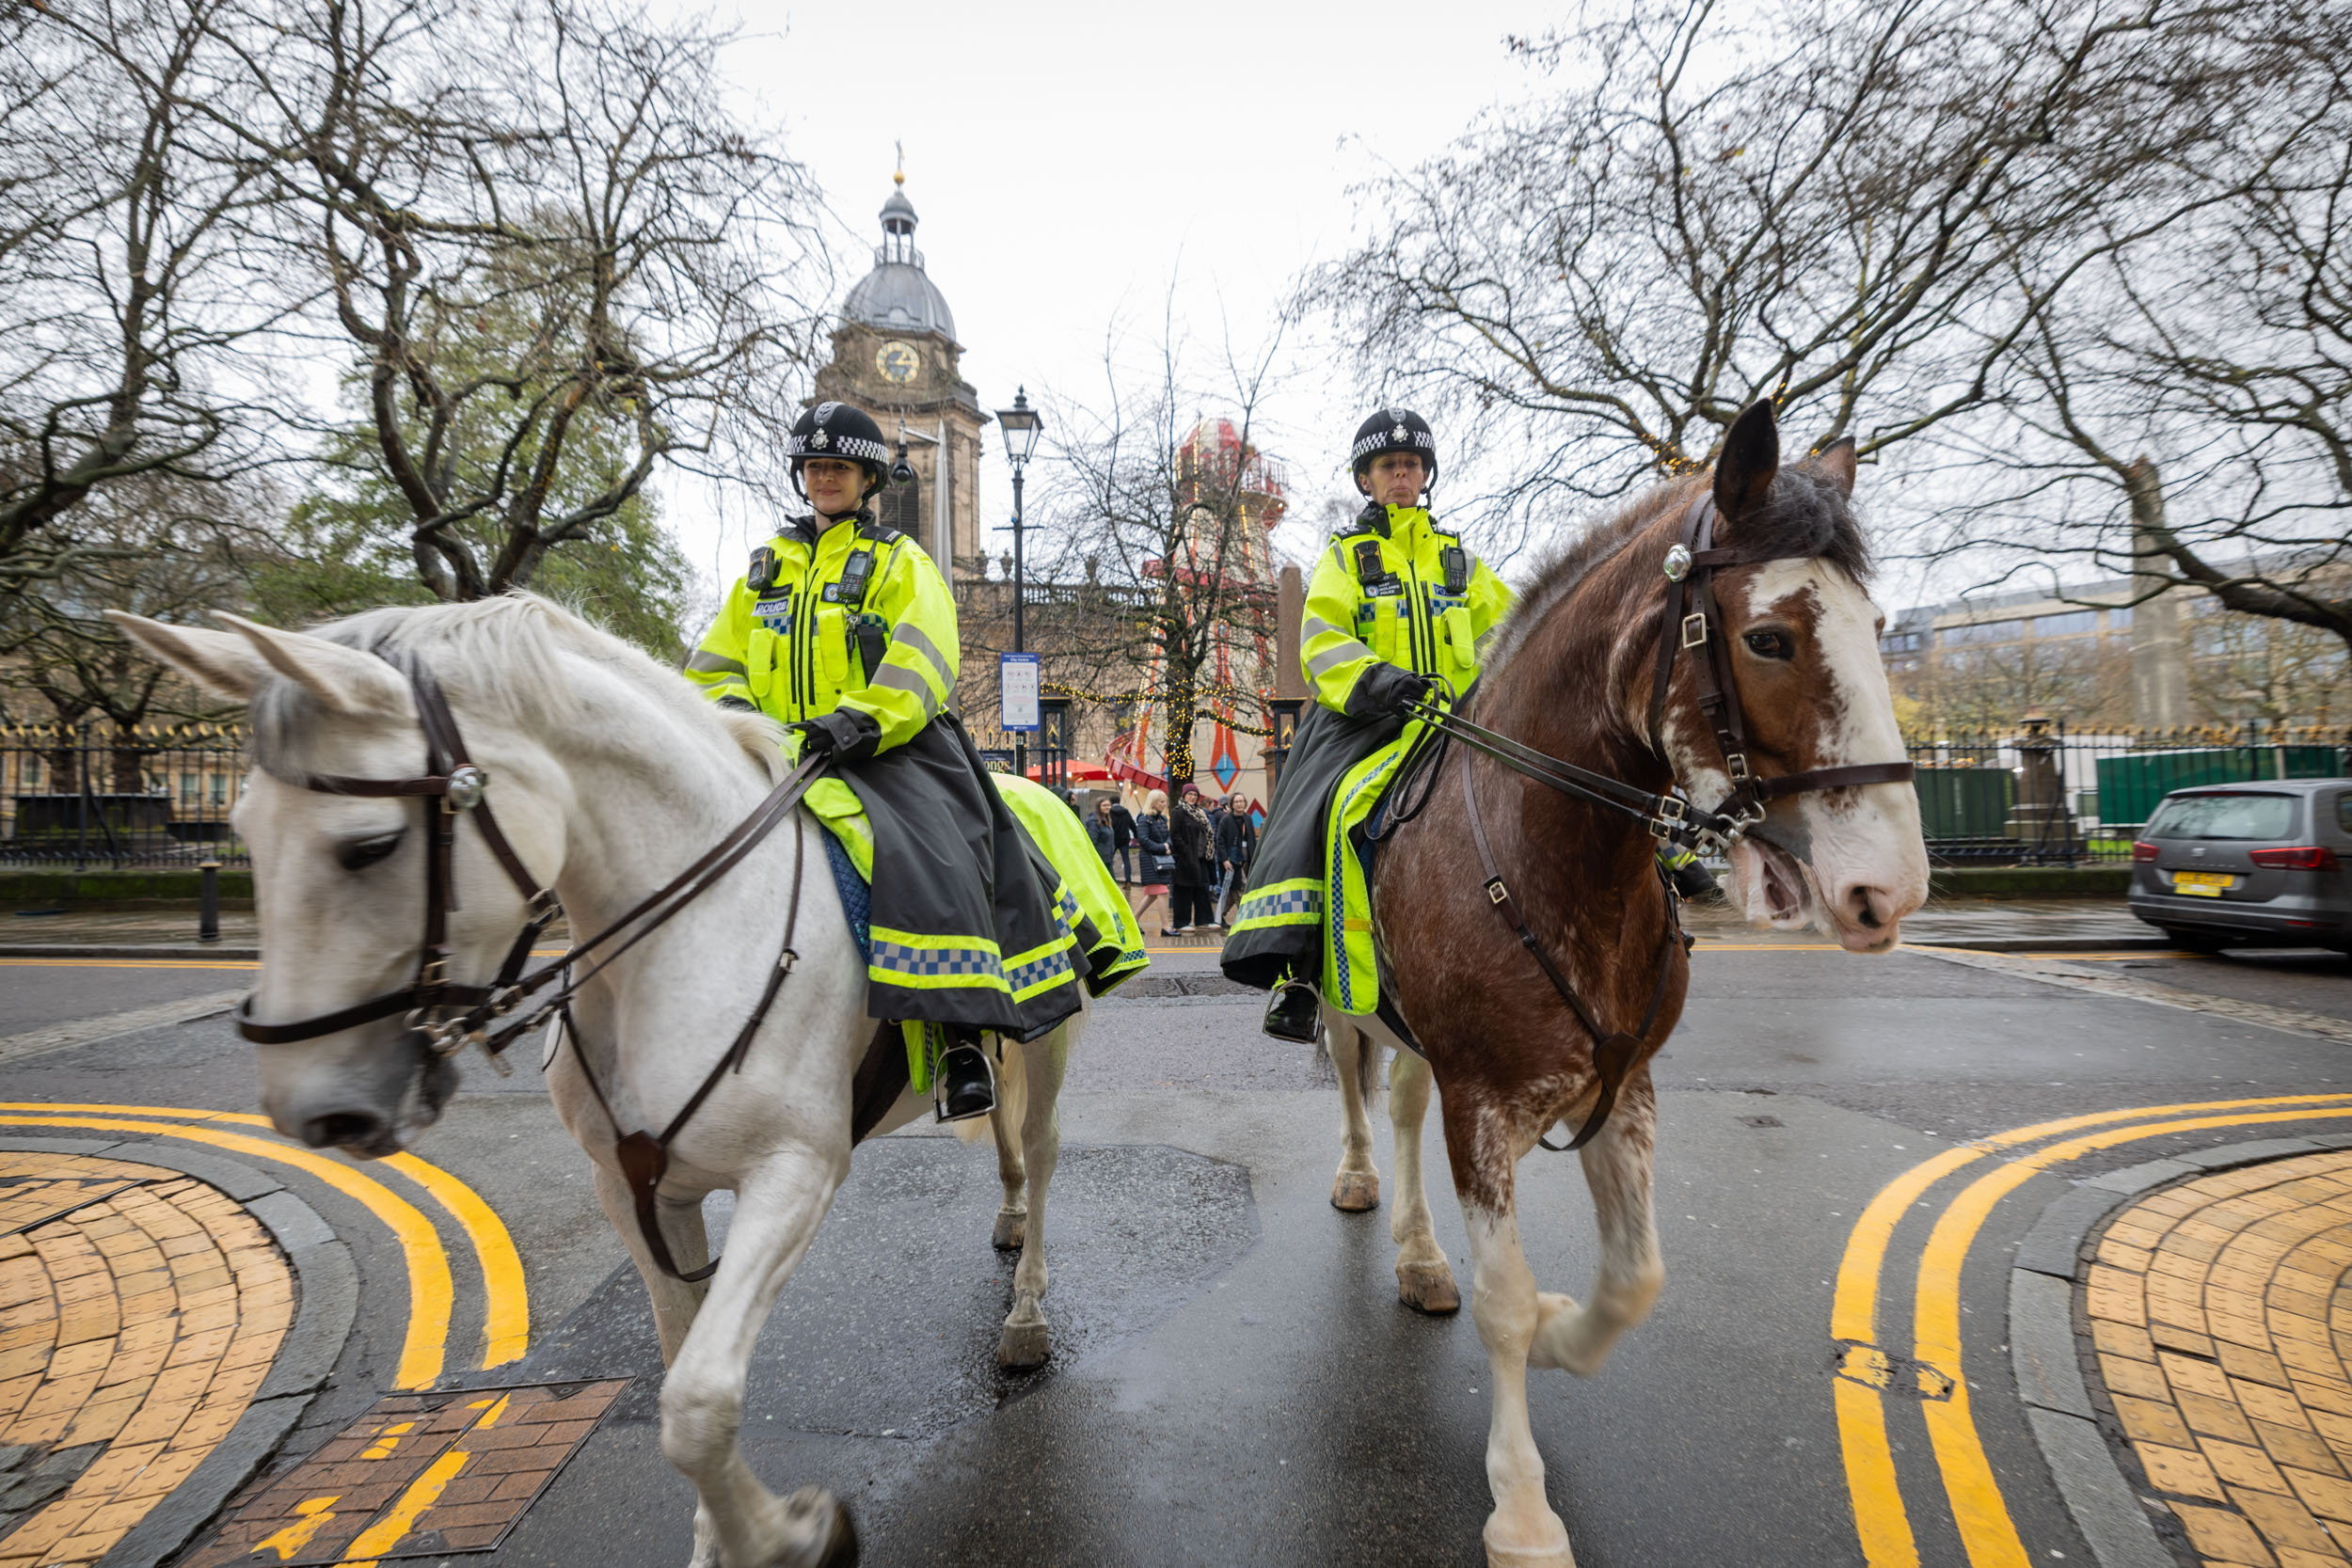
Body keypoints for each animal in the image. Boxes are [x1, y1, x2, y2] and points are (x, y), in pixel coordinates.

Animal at [111, 595, 1084, 1568]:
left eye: (370, 846)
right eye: (242, 832)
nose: (314, 1110)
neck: (681, 941)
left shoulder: (793, 1172)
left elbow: (696, 1402)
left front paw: (791, 1537)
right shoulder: (639, 1187)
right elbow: (684, 1373)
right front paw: (723, 1540)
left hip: (1047, 1040)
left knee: (1041, 1153)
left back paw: (1026, 1312)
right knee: (1004, 1132)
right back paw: (1005, 1216)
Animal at [1320, 401, 1929, 1568]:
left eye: (1876, 625)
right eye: (1770, 636)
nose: (1889, 885)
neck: (1557, 863)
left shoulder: (1622, 1086)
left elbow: (1634, 1277)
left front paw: (1565, 1332)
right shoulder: (1482, 1101)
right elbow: (1504, 1300)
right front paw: (1521, 1509)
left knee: (1401, 1100)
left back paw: (1417, 1255)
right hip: (1343, 1004)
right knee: (1358, 1092)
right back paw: (1362, 1182)